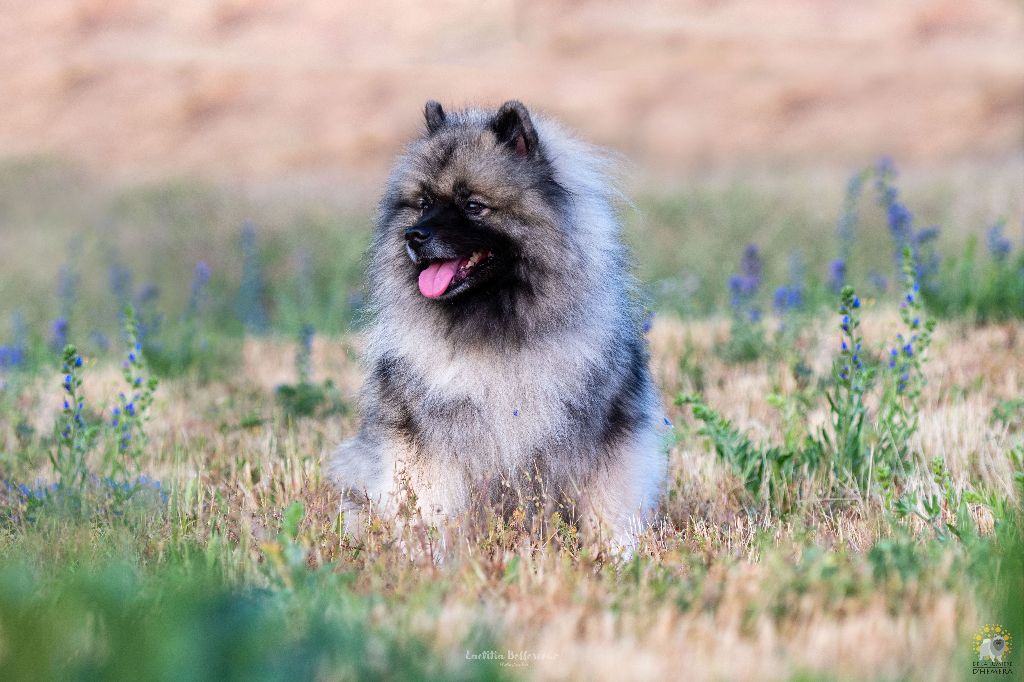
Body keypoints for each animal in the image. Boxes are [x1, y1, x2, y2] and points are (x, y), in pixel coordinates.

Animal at [329, 99, 671, 548]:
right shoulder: (430, 448)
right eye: (423, 203)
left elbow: (609, 512)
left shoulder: (610, 441)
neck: (499, 335)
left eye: (473, 206)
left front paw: (617, 555)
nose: (414, 236)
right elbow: (431, 508)